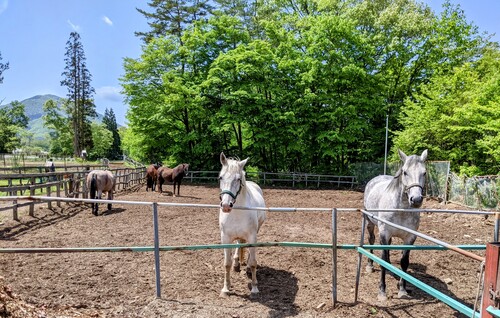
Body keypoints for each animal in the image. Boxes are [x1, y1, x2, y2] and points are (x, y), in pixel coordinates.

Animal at [218, 153, 266, 296]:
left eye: (238, 179)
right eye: (220, 177)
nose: (226, 205)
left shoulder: (252, 236)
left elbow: (254, 262)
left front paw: (255, 287)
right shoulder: (225, 238)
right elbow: (226, 263)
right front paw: (226, 288)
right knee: (239, 243)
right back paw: (236, 264)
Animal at [362, 148, 428, 300]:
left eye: (424, 173)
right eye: (405, 172)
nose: (416, 199)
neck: (401, 208)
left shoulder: (410, 238)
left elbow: (404, 263)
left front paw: (402, 289)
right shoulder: (384, 234)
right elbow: (382, 261)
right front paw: (382, 291)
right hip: (370, 223)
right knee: (371, 240)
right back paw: (370, 266)